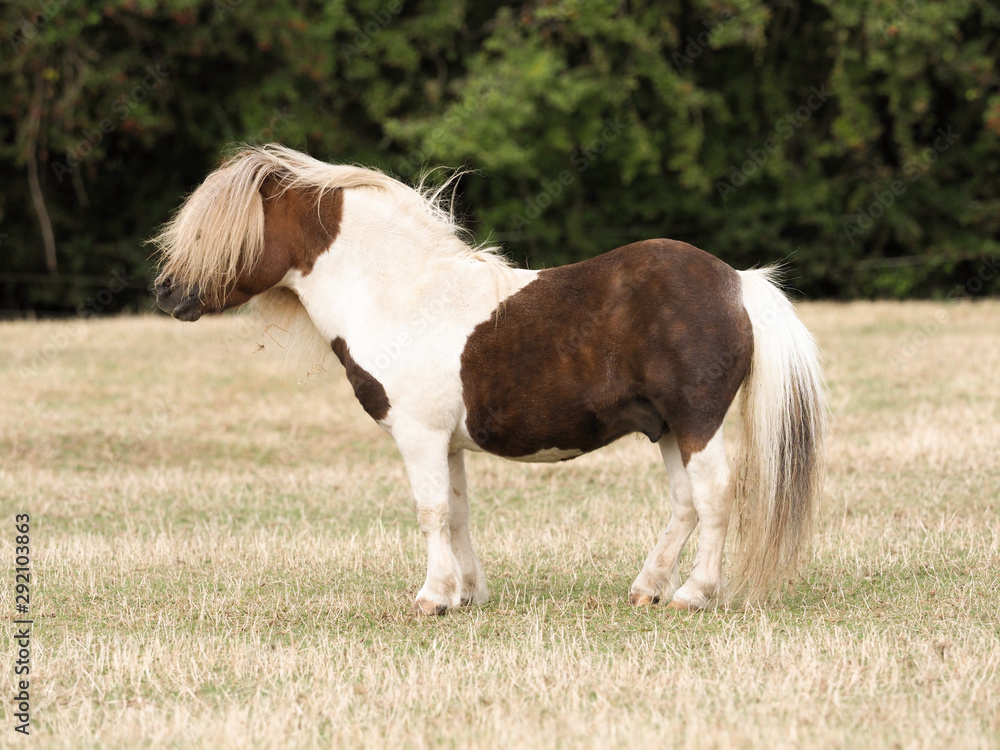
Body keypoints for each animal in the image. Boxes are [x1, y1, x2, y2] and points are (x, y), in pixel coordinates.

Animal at [152, 144, 826, 616]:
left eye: (218, 230)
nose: (166, 295)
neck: (400, 296)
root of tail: (737, 281)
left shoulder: (419, 437)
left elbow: (429, 511)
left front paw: (431, 598)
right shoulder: (446, 443)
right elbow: (456, 511)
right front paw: (465, 593)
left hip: (695, 423)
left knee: (713, 497)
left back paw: (693, 593)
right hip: (663, 429)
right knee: (685, 503)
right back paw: (648, 588)